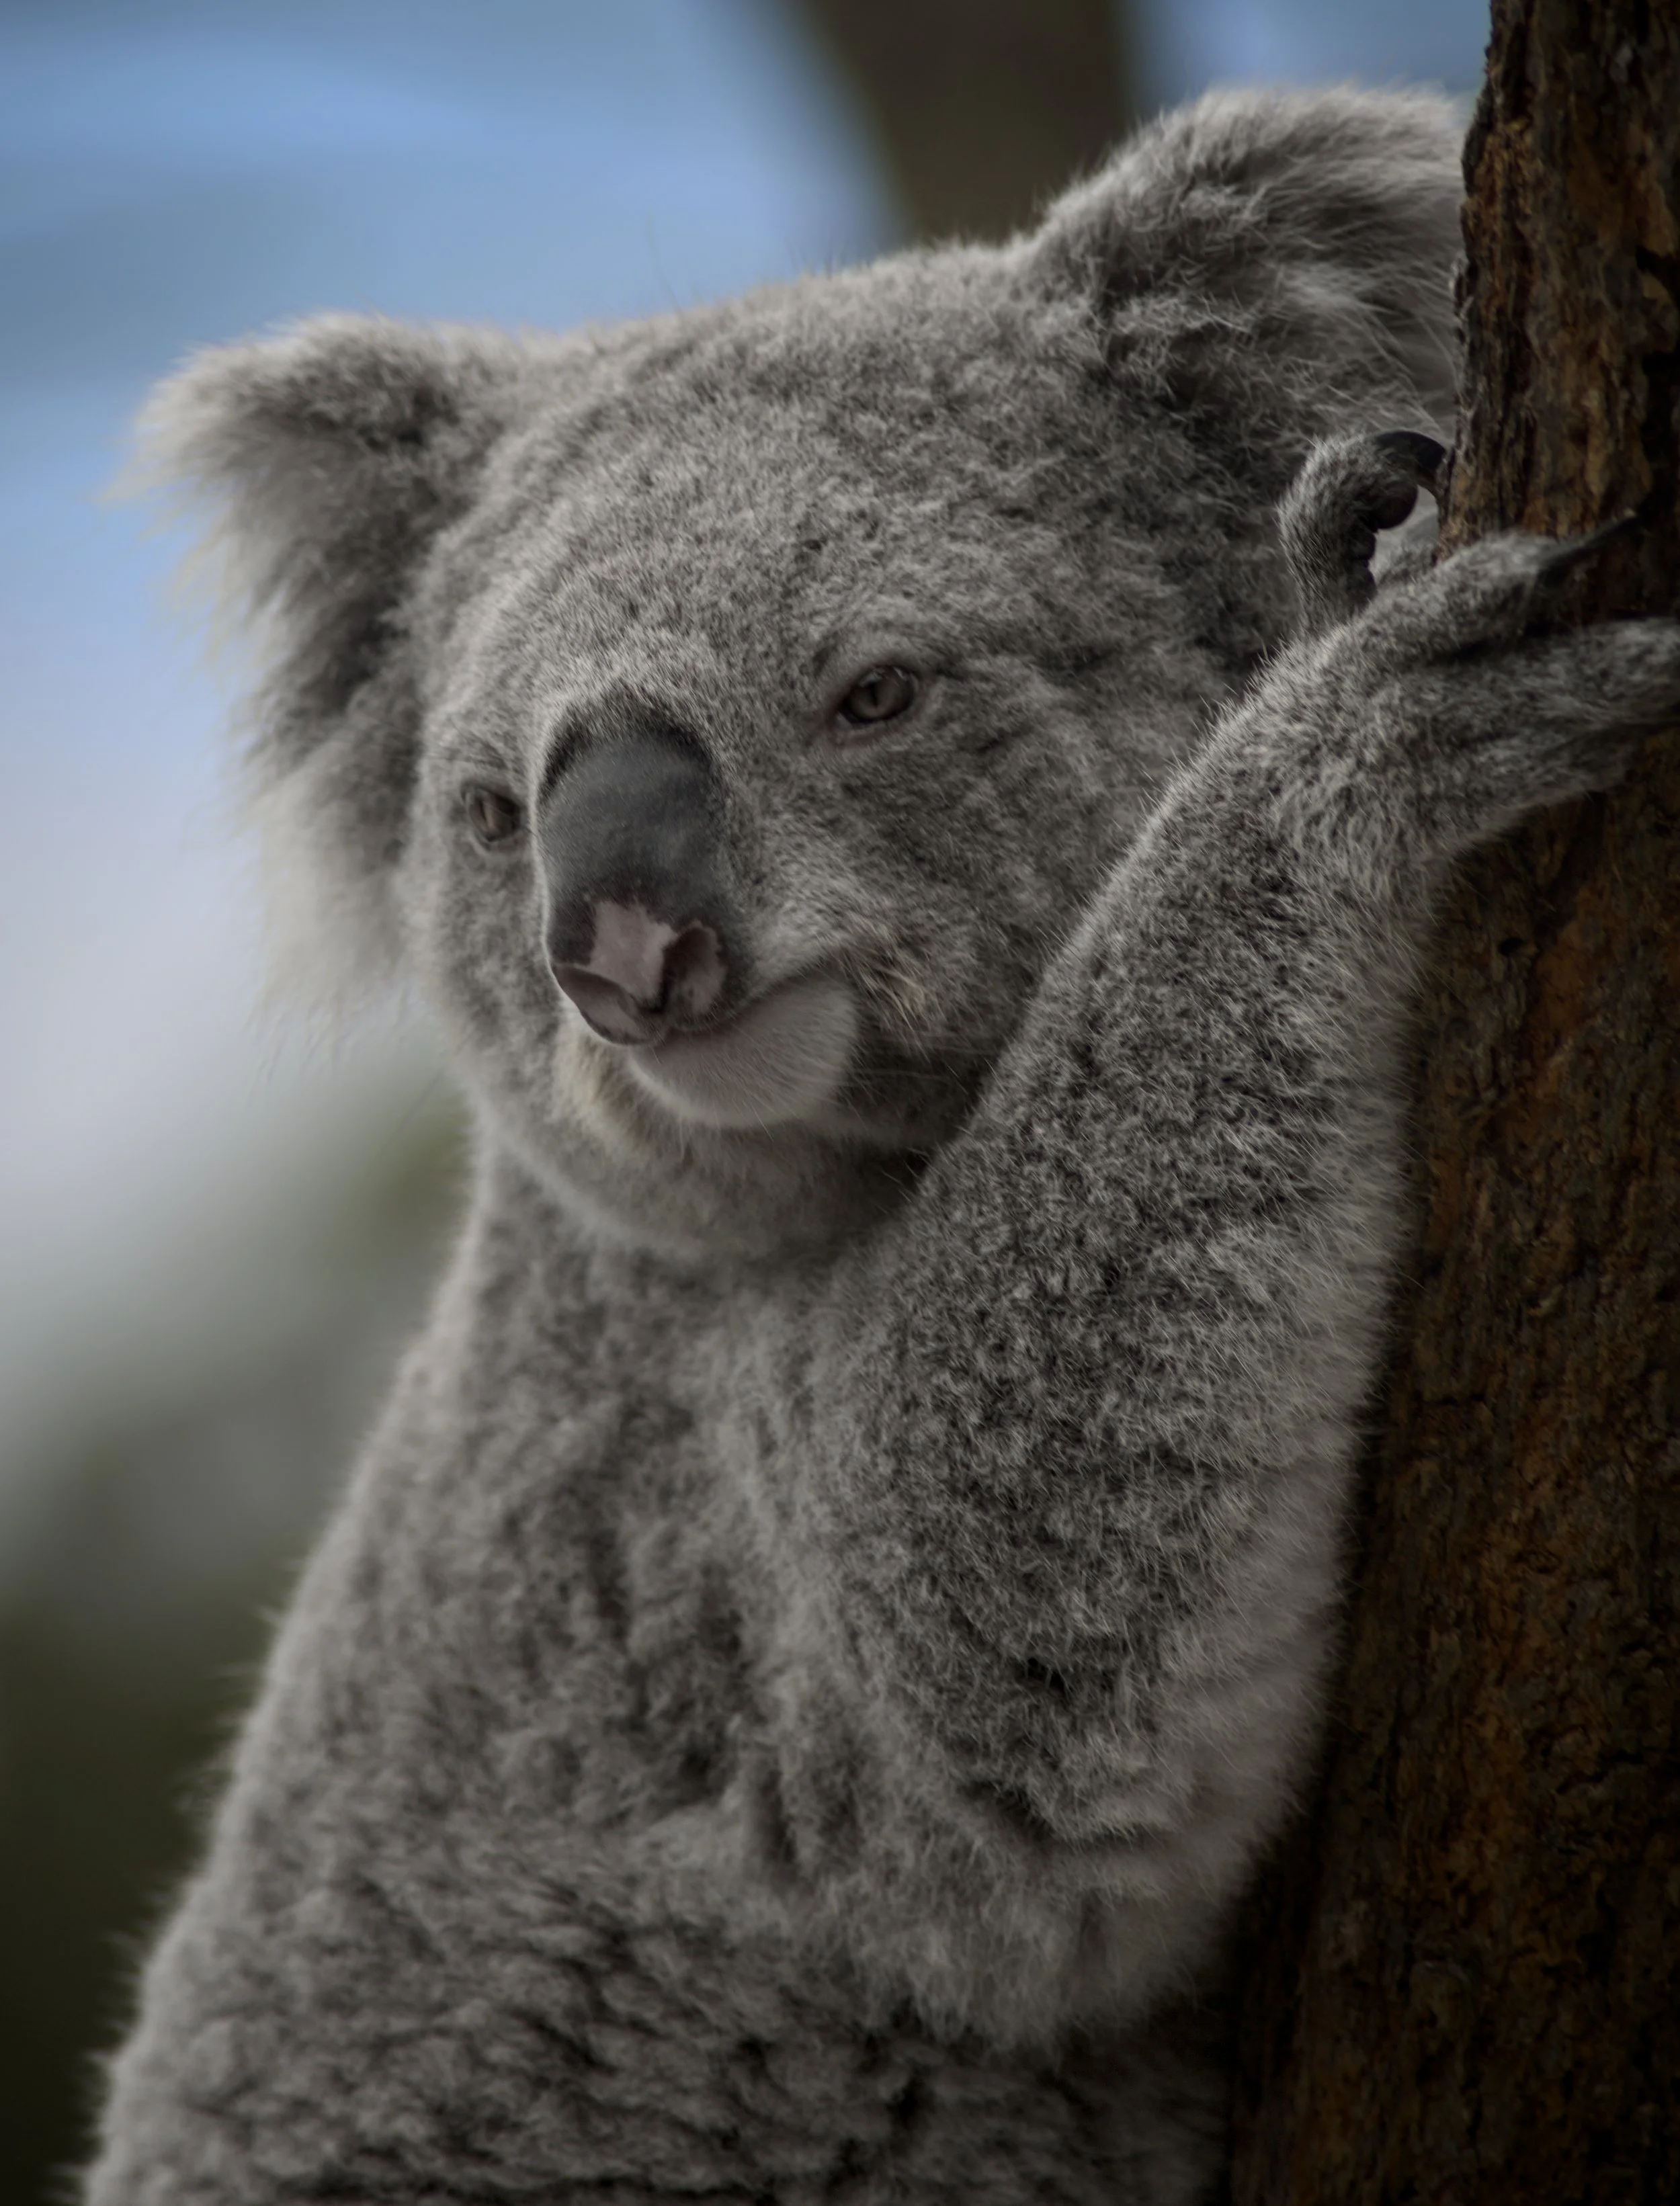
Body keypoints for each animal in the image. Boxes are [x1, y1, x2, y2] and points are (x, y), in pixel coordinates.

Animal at [85, 87, 1680, 2204]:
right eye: (491, 809)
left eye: (875, 692)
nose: (620, 944)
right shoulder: (670, 1532)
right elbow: (996, 1628)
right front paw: (1350, 730)